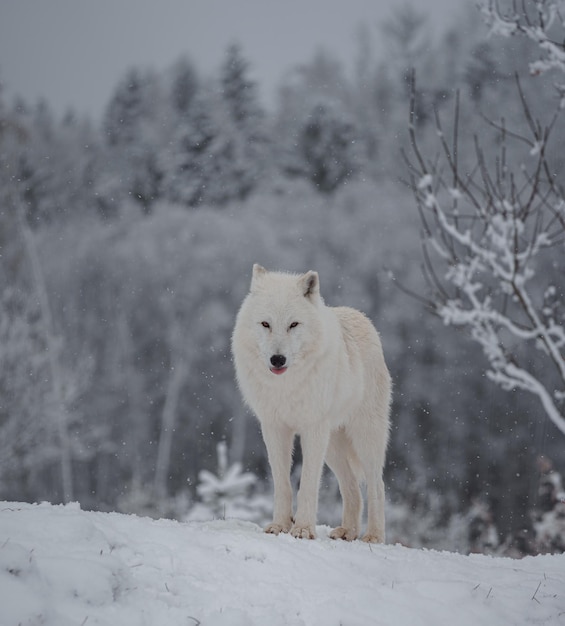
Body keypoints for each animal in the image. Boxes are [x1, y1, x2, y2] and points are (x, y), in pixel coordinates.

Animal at [231, 264, 390, 540]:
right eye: (266, 324)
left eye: (293, 324)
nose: (277, 359)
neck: (287, 386)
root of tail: (361, 316)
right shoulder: (274, 428)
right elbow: (282, 483)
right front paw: (280, 525)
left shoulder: (312, 429)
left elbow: (307, 483)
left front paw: (303, 529)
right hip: (333, 447)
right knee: (352, 487)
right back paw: (347, 532)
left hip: (364, 437)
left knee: (376, 486)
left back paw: (373, 536)